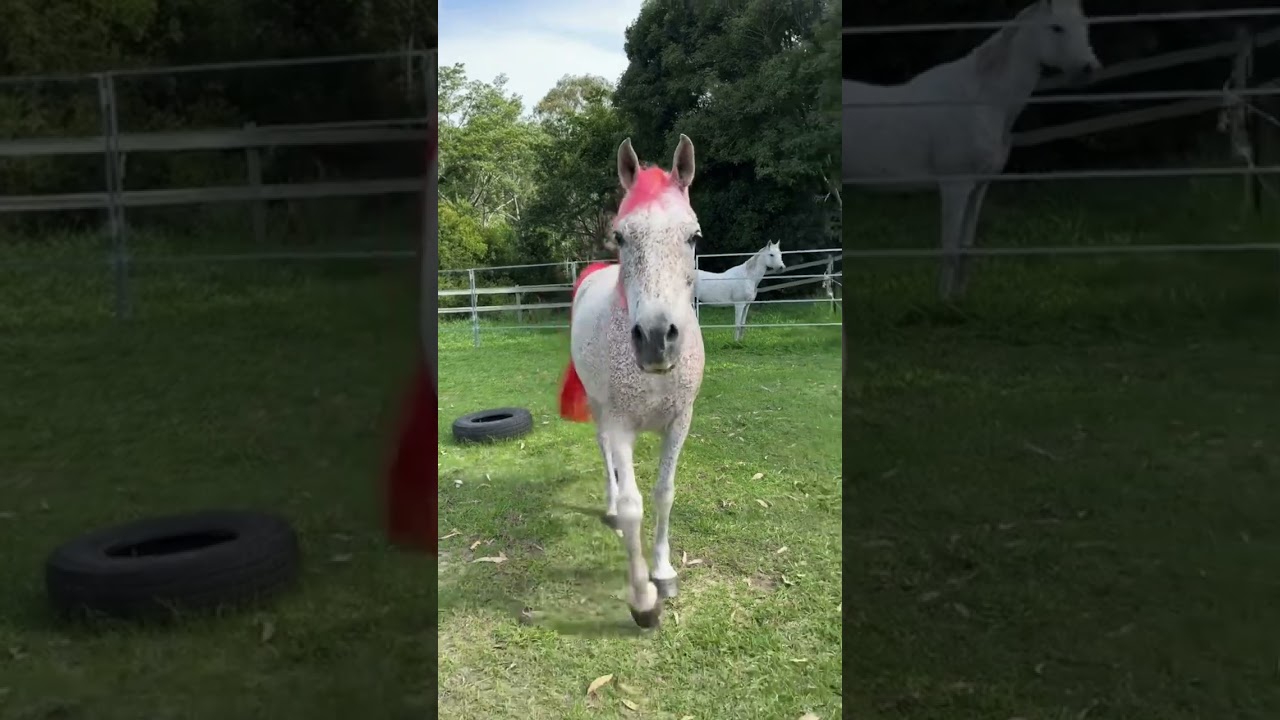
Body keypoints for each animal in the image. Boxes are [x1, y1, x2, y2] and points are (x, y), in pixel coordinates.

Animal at [558, 134, 705, 628]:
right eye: (621, 235)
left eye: (693, 236)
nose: (657, 339)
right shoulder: (621, 424)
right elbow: (633, 505)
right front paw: (642, 600)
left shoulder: (680, 422)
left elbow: (663, 493)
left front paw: (664, 572)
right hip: (600, 409)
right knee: (606, 455)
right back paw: (609, 505)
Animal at [842, 0, 1101, 300]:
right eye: (1056, 27)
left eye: (1085, 25)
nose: (1089, 68)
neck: (980, 101)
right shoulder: (956, 184)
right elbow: (950, 249)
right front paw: (942, 302)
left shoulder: (978, 187)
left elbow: (966, 247)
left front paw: (958, 300)